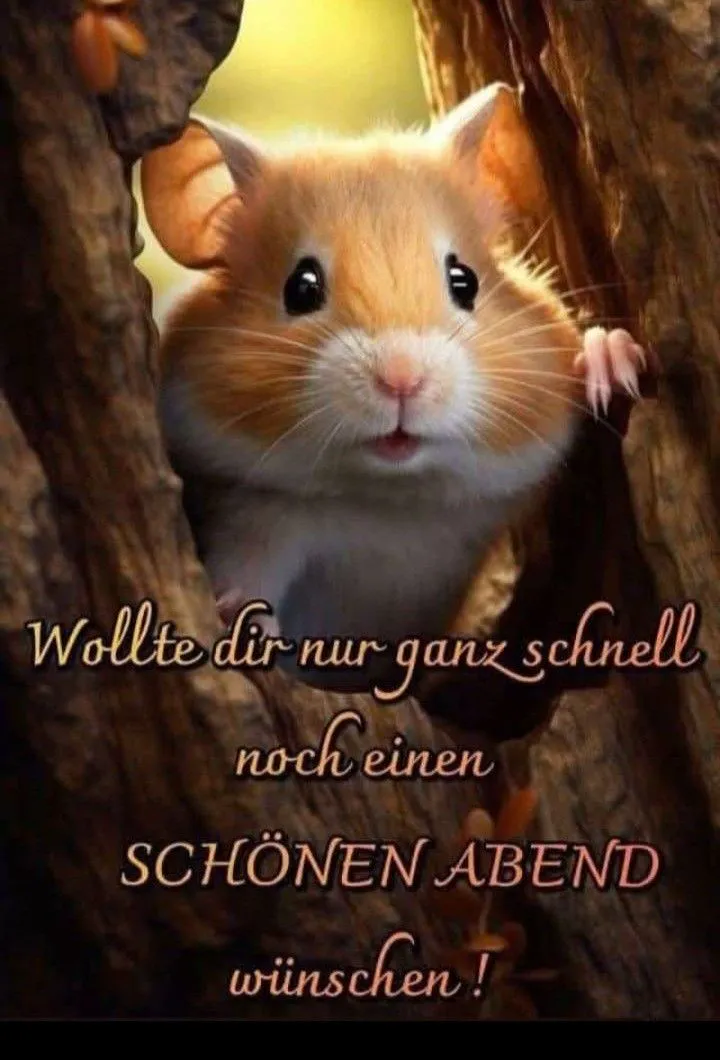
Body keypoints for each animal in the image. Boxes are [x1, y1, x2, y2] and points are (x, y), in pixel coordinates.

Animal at [141, 83, 645, 691]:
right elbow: (244, 577)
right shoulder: (253, 520)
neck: (389, 502)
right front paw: (237, 616)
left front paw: (613, 361)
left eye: (463, 281)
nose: (402, 379)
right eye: (301, 288)